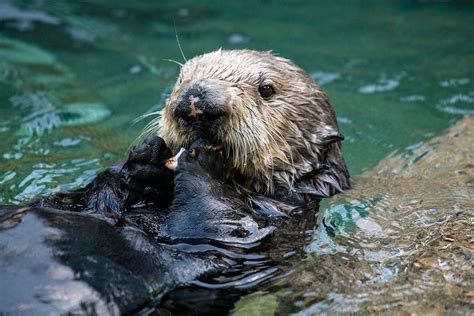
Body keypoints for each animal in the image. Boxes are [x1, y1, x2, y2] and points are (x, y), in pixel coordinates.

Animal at [0, 49, 348, 314]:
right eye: (182, 79)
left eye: (266, 90)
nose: (195, 101)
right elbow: (84, 197)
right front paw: (144, 161)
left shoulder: (273, 223)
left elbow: (225, 227)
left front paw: (200, 161)